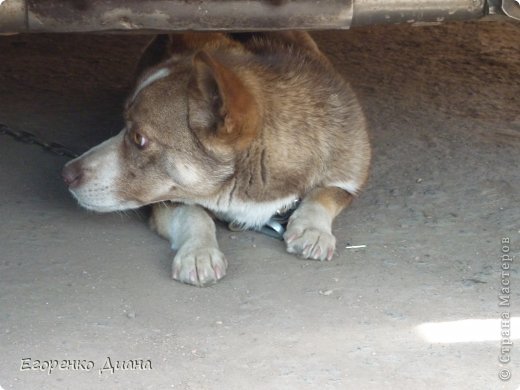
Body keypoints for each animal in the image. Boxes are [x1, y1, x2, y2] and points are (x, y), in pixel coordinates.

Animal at [62, 31, 370, 286]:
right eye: (123, 126)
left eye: (139, 138)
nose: (66, 173)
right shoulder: (164, 201)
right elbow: (192, 212)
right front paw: (199, 253)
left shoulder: (351, 177)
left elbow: (324, 193)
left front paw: (312, 230)